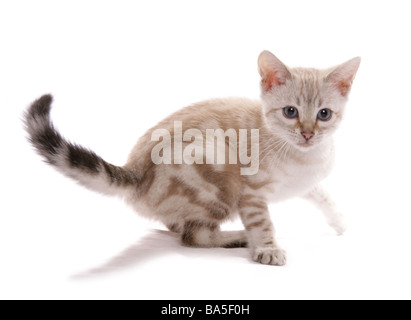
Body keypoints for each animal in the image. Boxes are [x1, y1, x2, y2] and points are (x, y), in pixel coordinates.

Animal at [25, 50, 360, 264]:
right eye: (290, 112)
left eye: (324, 114)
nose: (307, 134)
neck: (305, 157)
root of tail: (136, 171)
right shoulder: (251, 193)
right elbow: (263, 222)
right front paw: (267, 248)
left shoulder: (307, 181)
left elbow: (322, 194)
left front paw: (340, 220)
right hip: (217, 175)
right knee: (194, 236)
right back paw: (237, 236)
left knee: (179, 226)